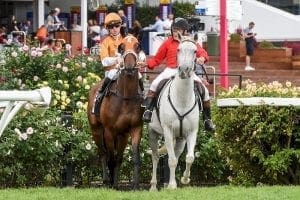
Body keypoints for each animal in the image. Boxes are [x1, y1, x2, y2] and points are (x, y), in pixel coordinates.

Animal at [87, 34, 144, 189]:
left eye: (137, 46)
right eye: (121, 47)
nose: (129, 67)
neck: (125, 97)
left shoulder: (136, 128)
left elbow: (134, 157)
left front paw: (135, 185)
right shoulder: (108, 131)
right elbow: (110, 158)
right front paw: (112, 183)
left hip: (122, 135)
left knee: (118, 157)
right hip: (96, 130)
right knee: (103, 154)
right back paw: (107, 180)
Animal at [147, 36, 199, 190]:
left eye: (195, 51)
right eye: (178, 49)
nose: (184, 70)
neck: (182, 100)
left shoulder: (192, 132)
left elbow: (189, 158)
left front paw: (185, 179)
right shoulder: (168, 131)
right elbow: (171, 160)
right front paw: (171, 185)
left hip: (180, 140)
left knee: (176, 155)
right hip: (153, 134)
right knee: (156, 156)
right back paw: (154, 186)